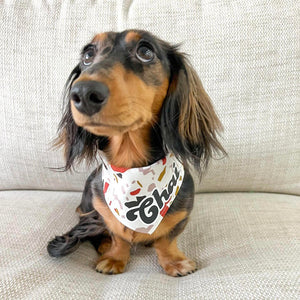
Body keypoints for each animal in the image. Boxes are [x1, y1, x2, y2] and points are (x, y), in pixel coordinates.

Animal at [47, 29, 225, 276]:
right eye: (88, 55)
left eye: (145, 52)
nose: (83, 93)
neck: (131, 169)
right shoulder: (103, 210)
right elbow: (118, 235)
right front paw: (114, 257)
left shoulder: (182, 214)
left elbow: (167, 240)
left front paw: (174, 261)